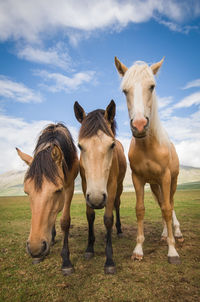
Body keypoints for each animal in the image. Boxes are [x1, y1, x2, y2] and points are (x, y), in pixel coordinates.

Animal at [16, 122, 78, 274]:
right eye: (26, 192)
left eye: (58, 190)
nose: (35, 248)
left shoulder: (69, 186)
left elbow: (65, 221)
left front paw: (66, 262)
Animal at [73, 99, 126, 274]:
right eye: (80, 146)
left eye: (111, 145)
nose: (97, 199)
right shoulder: (85, 187)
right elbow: (90, 215)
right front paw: (89, 248)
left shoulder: (111, 187)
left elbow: (108, 218)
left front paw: (109, 260)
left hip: (119, 187)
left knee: (117, 204)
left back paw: (119, 230)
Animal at [115, 57, 184, 264]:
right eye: (125, 90)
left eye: (152, 86)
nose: (139, 125)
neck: (148, 146)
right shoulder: (138, 179)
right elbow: (141, 209)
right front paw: (138, 249)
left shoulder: (166, 177)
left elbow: (168, 209)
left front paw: (172, 251)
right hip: (155, 184)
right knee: (162, 204)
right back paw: (164, 234)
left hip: (172, 181)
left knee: (169, 204)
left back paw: (176, 233)